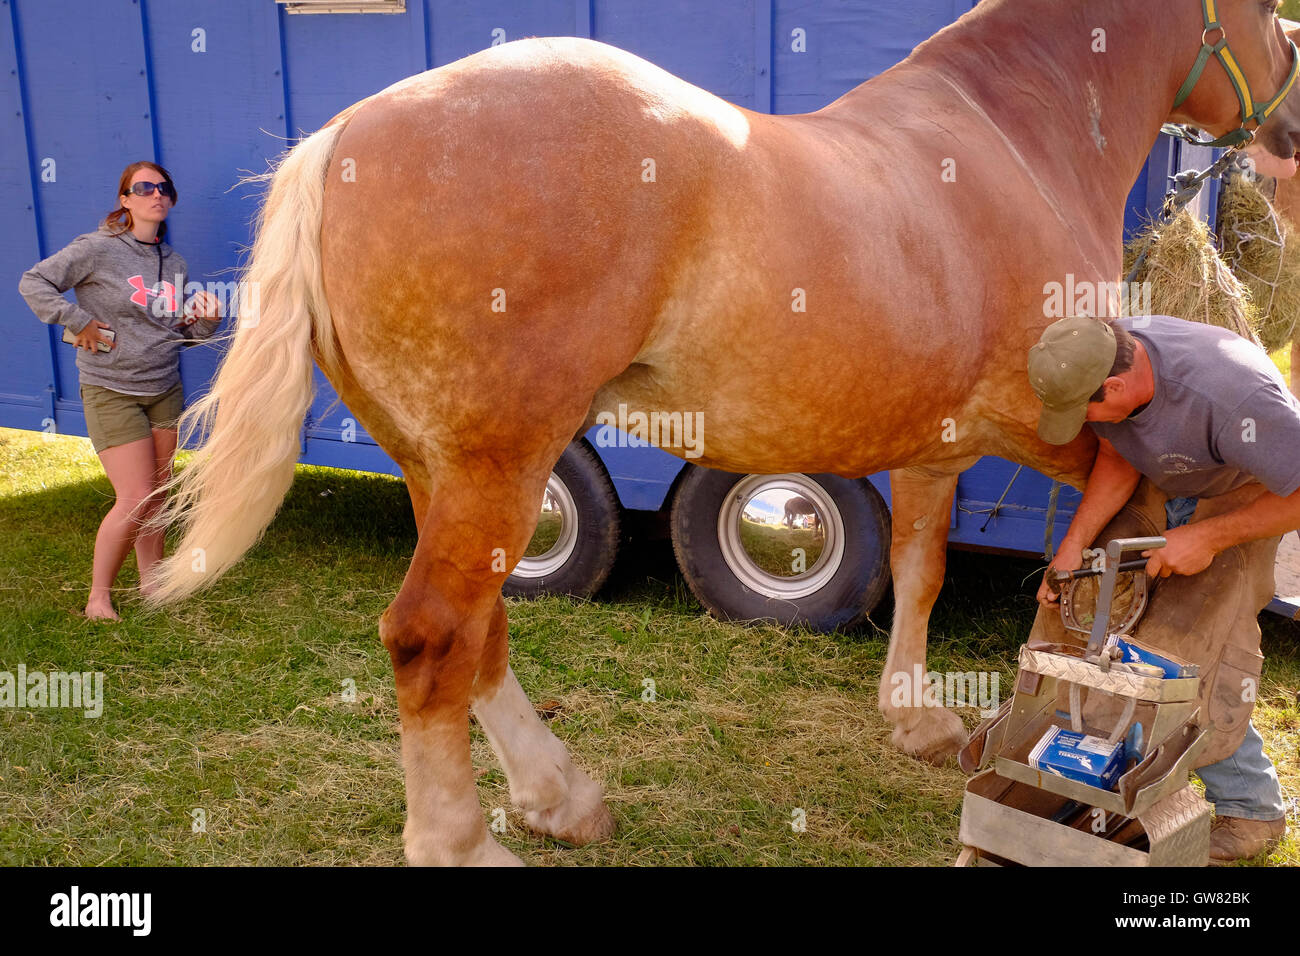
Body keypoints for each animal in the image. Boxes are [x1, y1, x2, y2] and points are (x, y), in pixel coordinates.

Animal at [142, 0, 1300, 865]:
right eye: (1259, 8)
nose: (1288, 124)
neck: (1012, 133)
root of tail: (341, 139)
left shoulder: (937, 444)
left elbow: (921, 567)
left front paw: (921, 720)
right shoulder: (1061, 421)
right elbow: (1131, 541)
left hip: (448, 470)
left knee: (481, 634)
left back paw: (561, 796)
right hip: (496, 465)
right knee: (431, 638)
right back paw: (465, 842)